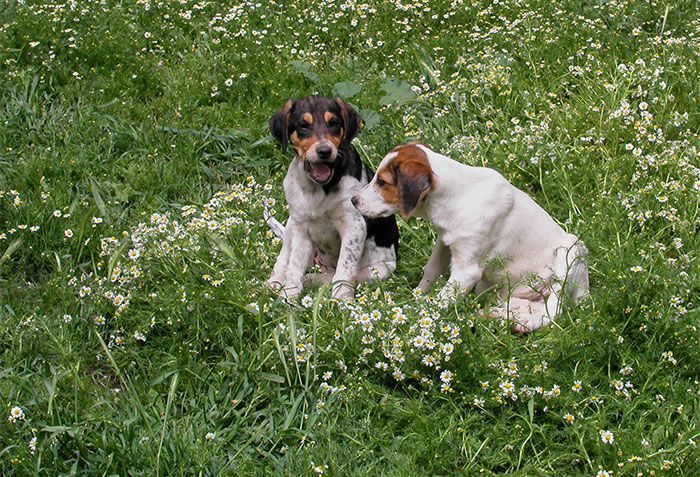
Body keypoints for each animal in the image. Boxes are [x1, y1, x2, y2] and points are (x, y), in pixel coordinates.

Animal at [266, 95, 400, 300]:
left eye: (334, 123)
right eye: (303, 126)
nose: (324, 151)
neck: (318, 188)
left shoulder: (354, 225)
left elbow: (345, 267)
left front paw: (341, 299)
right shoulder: (300, 228)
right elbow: (293, 265)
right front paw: (289, 297)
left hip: (381, 269)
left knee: (337, 275)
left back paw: (312, 281)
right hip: (290, 224)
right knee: (284, 260)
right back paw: (275, 282)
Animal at [352, 141, 588, 330]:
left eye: (382, 182)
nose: (353, 200)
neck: (459, 197)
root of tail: (585, 296)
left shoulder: (466, 271)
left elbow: (440, 301)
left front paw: (417, 320)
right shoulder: (444, 242)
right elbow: (431, 271)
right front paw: (416, 300)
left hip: (571, 250)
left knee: (553, 310)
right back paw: (498, 316)